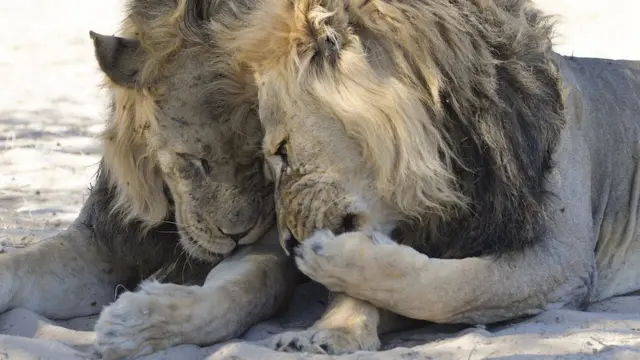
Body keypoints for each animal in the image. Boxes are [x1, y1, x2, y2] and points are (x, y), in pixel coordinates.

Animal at [0, 0, 298, 360]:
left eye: (261, 159)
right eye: (194, 160)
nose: (237, 235)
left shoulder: (268, 243)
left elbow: (251, 285)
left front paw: (135, 324)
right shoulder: (102, 238)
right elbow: (18, 264)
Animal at [212, 0, 640, 354]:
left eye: (282, 151)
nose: (286, 243)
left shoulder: (565, 262)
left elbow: (452, 288)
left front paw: (330, 260)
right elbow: (375, 290)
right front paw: (331, 331)